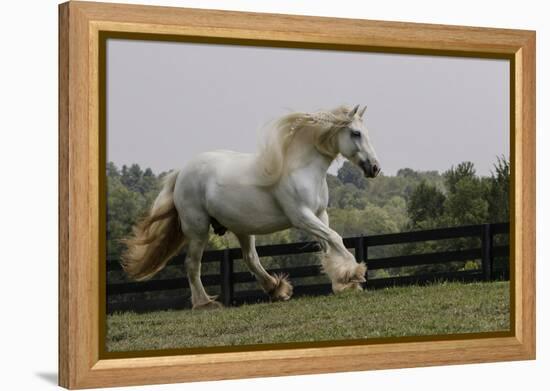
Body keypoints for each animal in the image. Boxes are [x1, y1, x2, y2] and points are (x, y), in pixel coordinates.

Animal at [122, 104, 382, 310]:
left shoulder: (320, 215)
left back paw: (277, 289)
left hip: (242, 228)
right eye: (356, 133)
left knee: (250, 259)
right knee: (192, 264)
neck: (301, 169)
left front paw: (342, 282)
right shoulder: (302, 217)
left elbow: (329, 245)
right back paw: (205, 303)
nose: (375, 168)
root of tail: (182, 172)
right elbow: (335, 238)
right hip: (198, 230)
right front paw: (354, 274)